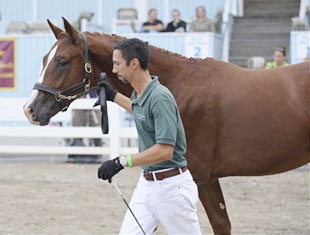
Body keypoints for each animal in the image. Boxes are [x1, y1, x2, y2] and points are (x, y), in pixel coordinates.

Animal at [23, 18, 310, 235]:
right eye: (45, 59)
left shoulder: (200, 176)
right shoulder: (210, 178)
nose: (30, 109)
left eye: (62, 61)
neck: (180, 84)